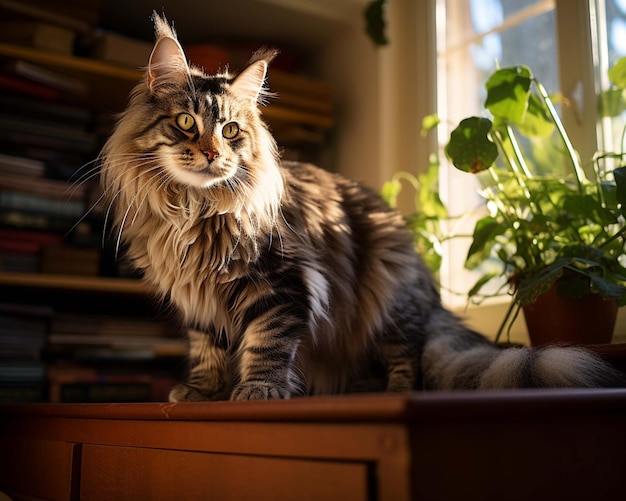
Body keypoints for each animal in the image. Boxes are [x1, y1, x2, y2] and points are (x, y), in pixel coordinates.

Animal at [97, 12, 620, 402]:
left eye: (230, 131)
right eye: (186, 122)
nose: (211, 154)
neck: (195, 210)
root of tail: (429, 293)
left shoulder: (284, 283)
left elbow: (267, 344)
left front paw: (258, 390)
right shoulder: (198, 302)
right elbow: (207, 348)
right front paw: (203, 391)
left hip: (389, 294)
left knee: (410, 358)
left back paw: (391, 391)